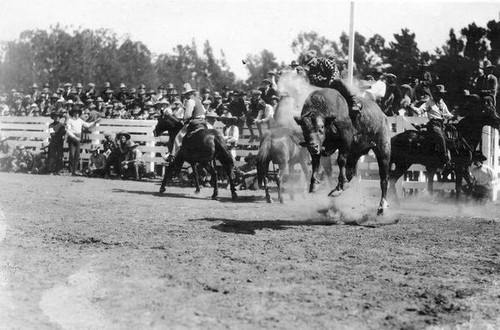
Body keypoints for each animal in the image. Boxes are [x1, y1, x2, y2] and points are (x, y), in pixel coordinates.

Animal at [292, 87, 394, 217]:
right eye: (304, 129)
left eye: (321, 127)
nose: (313, 146)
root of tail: (382, 115)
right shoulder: (319, 149)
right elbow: (316, 163)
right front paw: (314, 184)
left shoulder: (345, 141)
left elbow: (340, 161)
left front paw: (342, 183)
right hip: (355, 153)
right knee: (350, 171)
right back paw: (336, 191)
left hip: (383, 149)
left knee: (384, 179)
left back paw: (381, 207)